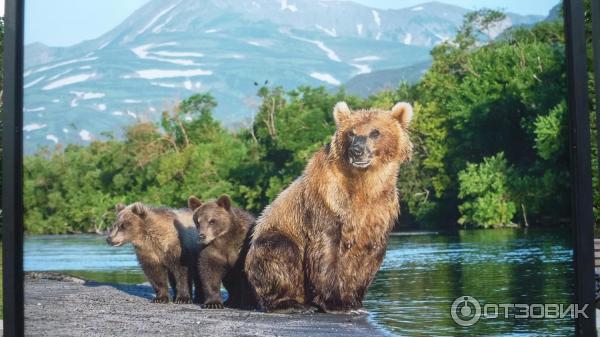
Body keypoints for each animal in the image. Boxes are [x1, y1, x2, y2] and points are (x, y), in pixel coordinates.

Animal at [244, 100, 412, 312]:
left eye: (375, 132)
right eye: (351, 133)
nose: (356, 151)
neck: (363, 185)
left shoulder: (380, 211)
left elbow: (369, 254)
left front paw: (354, 301)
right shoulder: (328, 202)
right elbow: (326, 250)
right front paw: (334, 302)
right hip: (273, 237)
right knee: (280, 251)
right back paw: (289, 303)